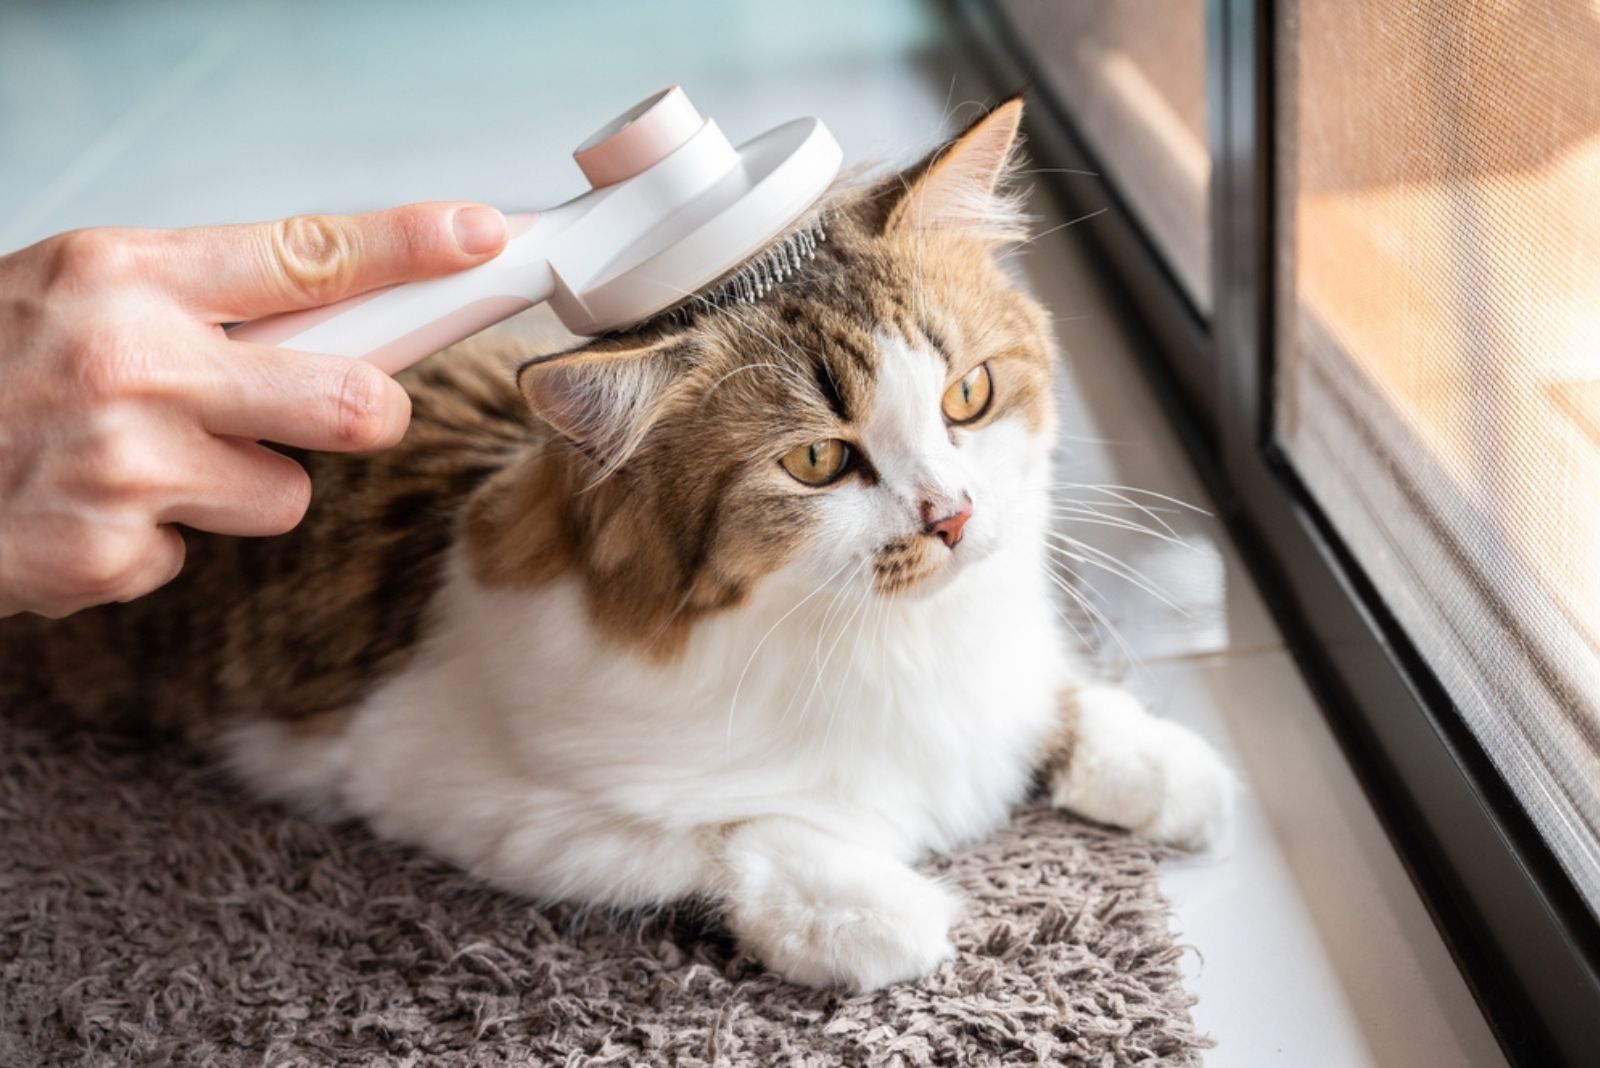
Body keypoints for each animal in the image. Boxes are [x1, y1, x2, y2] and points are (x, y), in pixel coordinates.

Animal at [0, 99, 1235, 991]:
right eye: (818, 462)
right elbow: (725, 835)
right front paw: (875, 916)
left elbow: (1056, 700)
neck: (890, 643)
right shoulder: (438, 780)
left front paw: (1167, 768)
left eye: (968, 396)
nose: (954, 515)